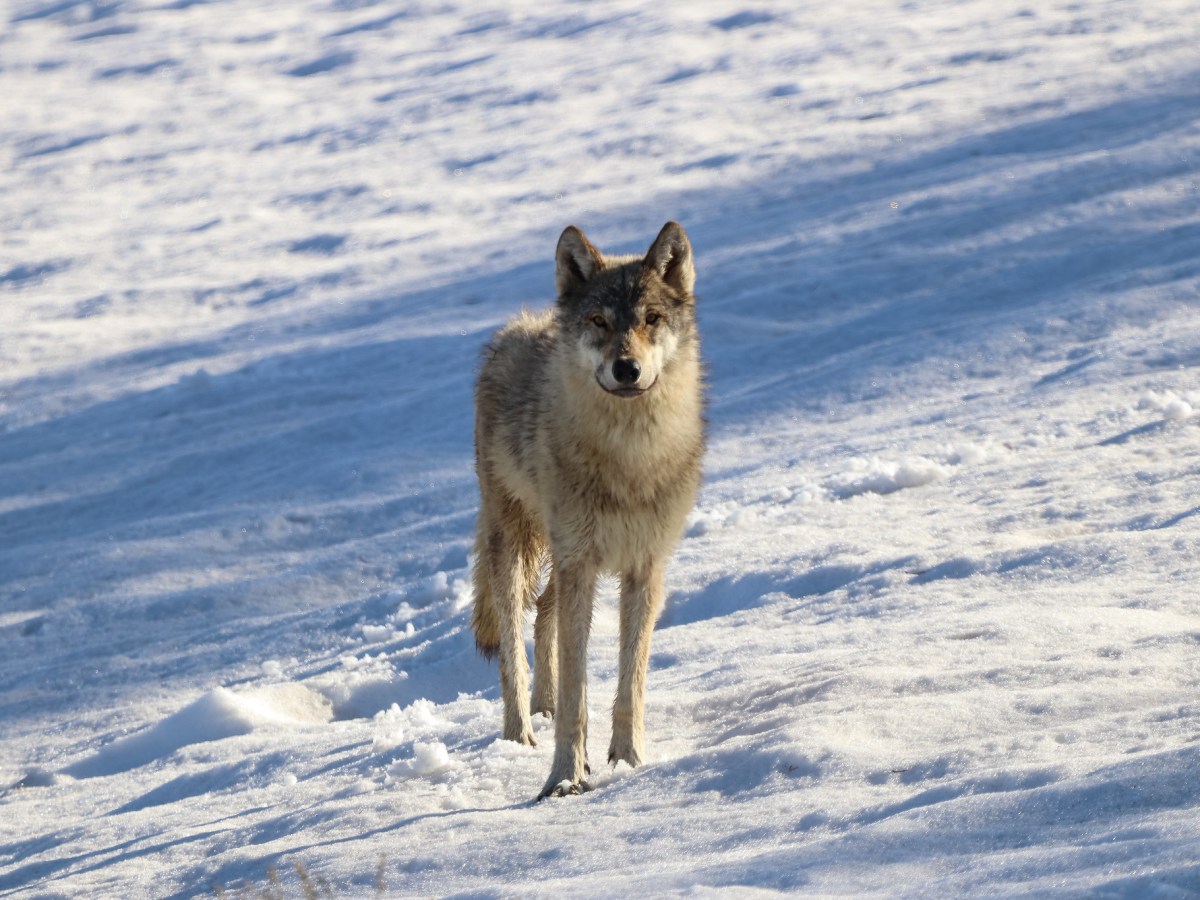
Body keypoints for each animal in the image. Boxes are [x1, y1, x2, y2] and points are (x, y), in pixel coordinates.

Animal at [471, 221, 705, 799]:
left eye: (651, 319)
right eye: (599, 321)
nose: (627, 368)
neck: (629, 461)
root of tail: (521, 324)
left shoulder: (645, 568)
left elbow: (630, 683)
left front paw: (629, 761)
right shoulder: (582, 565)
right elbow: (579, 693)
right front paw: (564, 777)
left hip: (563, 557)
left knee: (543, 614)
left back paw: (545, 707)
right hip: (518, 545)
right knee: (513, 642)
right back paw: (521, 733)